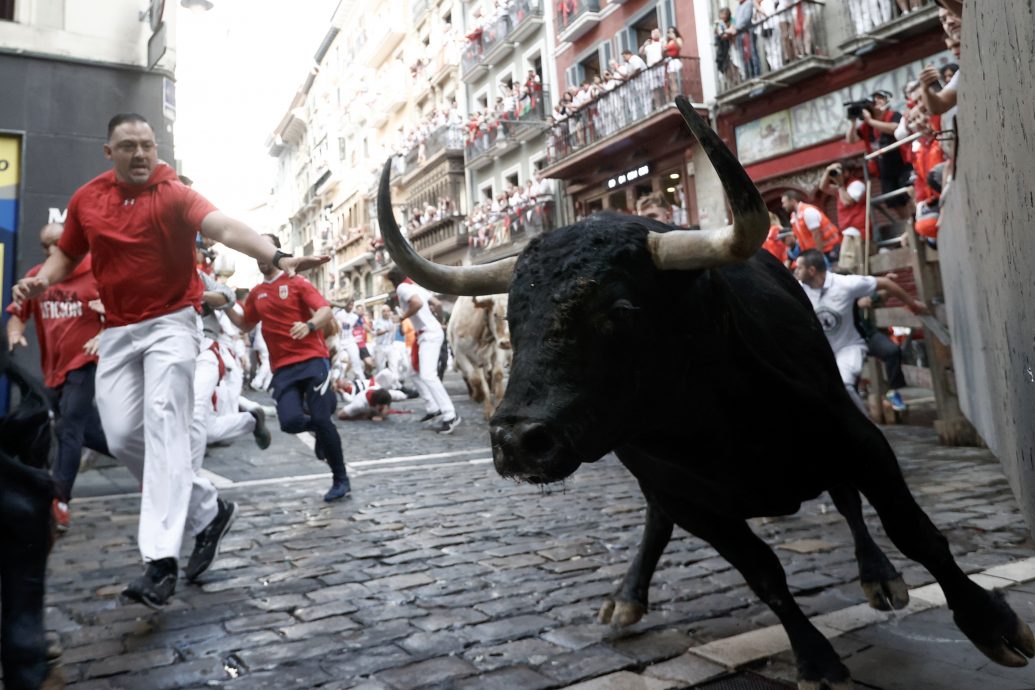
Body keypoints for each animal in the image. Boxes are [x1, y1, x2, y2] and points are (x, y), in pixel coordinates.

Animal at [380, 99, 1035, 686]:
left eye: (621, 310)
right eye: (516, 316)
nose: (517, 440)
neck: (714, 424)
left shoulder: (857, 439)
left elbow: (912, 529)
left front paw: (992, 624)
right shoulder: (689, 498)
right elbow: (763, 574)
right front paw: (817, 661)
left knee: (848, 503)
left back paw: (878, 575)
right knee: (658, 521)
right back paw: (628, 596)